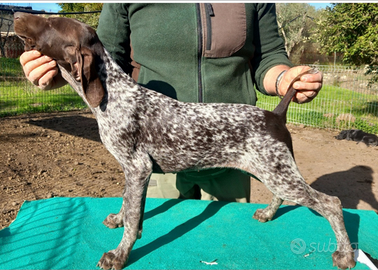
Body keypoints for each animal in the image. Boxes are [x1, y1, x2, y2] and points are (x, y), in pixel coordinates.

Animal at [14, 12, 356, 270]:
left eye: (50, 22)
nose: (17, 14)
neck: (114, 95)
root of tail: (276, 114)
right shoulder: (132, 170)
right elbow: (127, 203)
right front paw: (118, 219)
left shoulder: (137, 167)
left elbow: (135, 218)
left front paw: (119, 255)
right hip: (270, 168)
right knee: (282, 195)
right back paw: (268, 214)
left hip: (277, 170)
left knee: (331, 203)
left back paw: (345, 255)